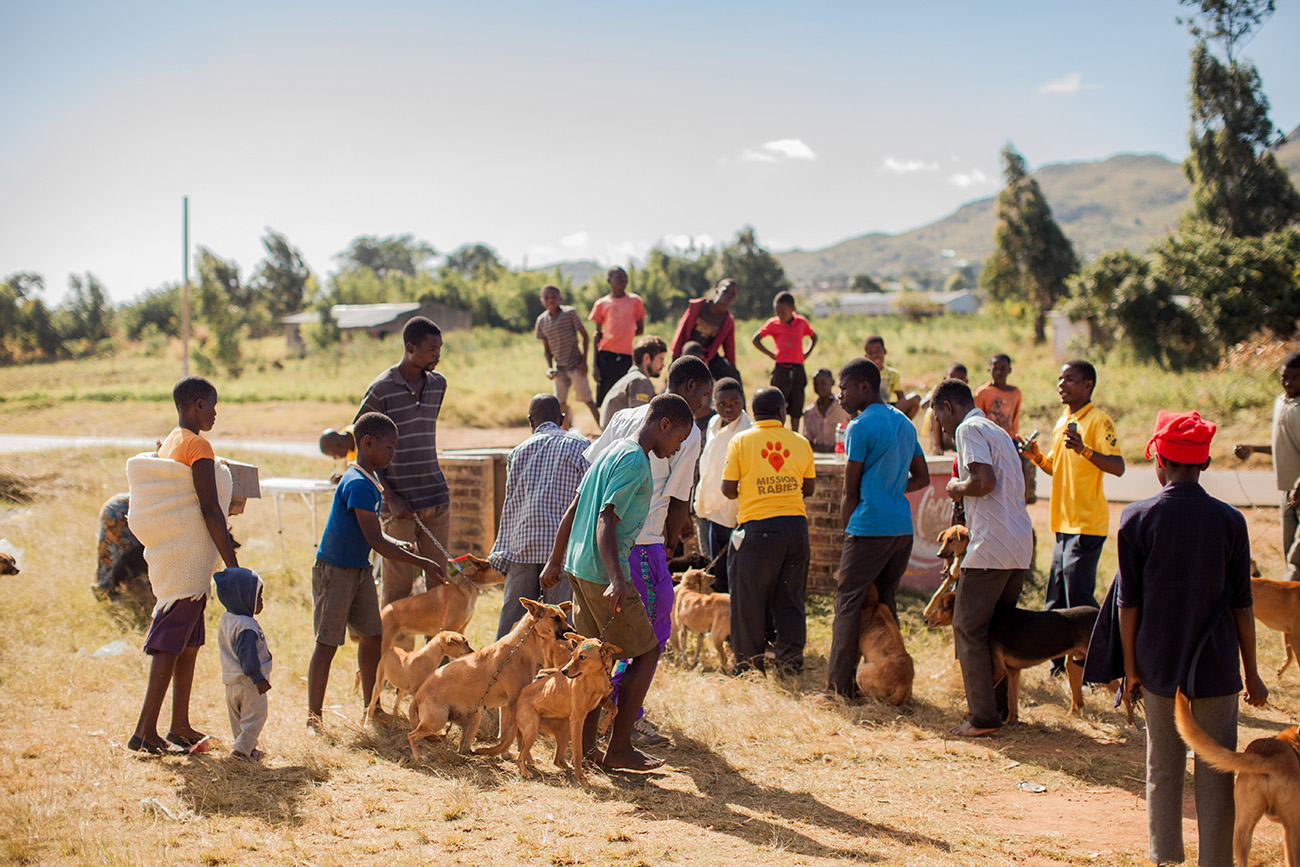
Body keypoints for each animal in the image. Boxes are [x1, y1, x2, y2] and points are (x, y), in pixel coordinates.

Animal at [403, 597, 572, 759]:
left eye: (565, 617)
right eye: (555, 618)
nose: (573, 631)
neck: (520, 646)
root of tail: (418, 695)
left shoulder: (505, 707)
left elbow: (504, 734)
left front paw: (505, 755)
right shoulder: (515, 703)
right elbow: (519, 737)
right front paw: (527, 759)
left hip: (473, 718)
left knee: (463, 748)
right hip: (437, 720)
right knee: (412, 735)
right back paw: (418, 757)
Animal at [512, 634, 624, 785]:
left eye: (582, 657)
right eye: (573, 655)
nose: (563, 671)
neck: (596, 678)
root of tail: (520, 696)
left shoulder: (603, 699)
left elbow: (615, 708)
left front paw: (603, 725)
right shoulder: (577, 719)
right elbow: (577, 752)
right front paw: (580, 776)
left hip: (563, 731)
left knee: (556, 759)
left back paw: (566, 767)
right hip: (533, 729)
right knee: (520, 757)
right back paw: (525, 772)